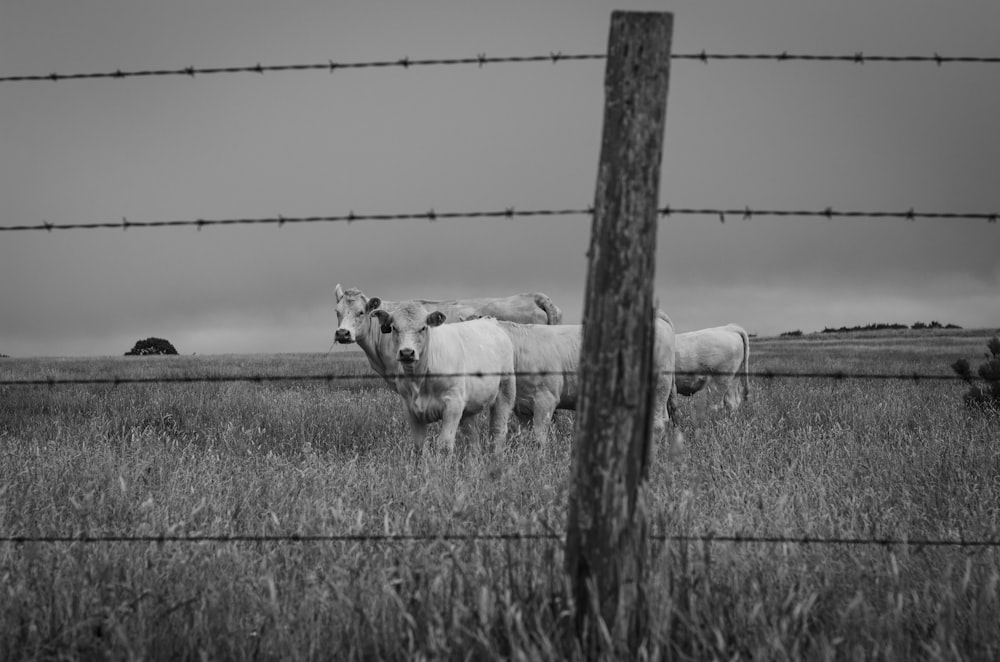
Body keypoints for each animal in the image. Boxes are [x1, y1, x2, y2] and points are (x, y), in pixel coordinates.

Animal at [368, 302, 516, 454]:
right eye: (394, 328)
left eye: (423, 327)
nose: (407, 352)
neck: (419, 380)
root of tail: (489, 321)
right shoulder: (410, 408)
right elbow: (420, 445)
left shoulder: (453, 405)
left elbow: (444, 444)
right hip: (468, 407)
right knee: (472, 437)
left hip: (505, 390)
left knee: (498, 430)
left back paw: (496, 456)